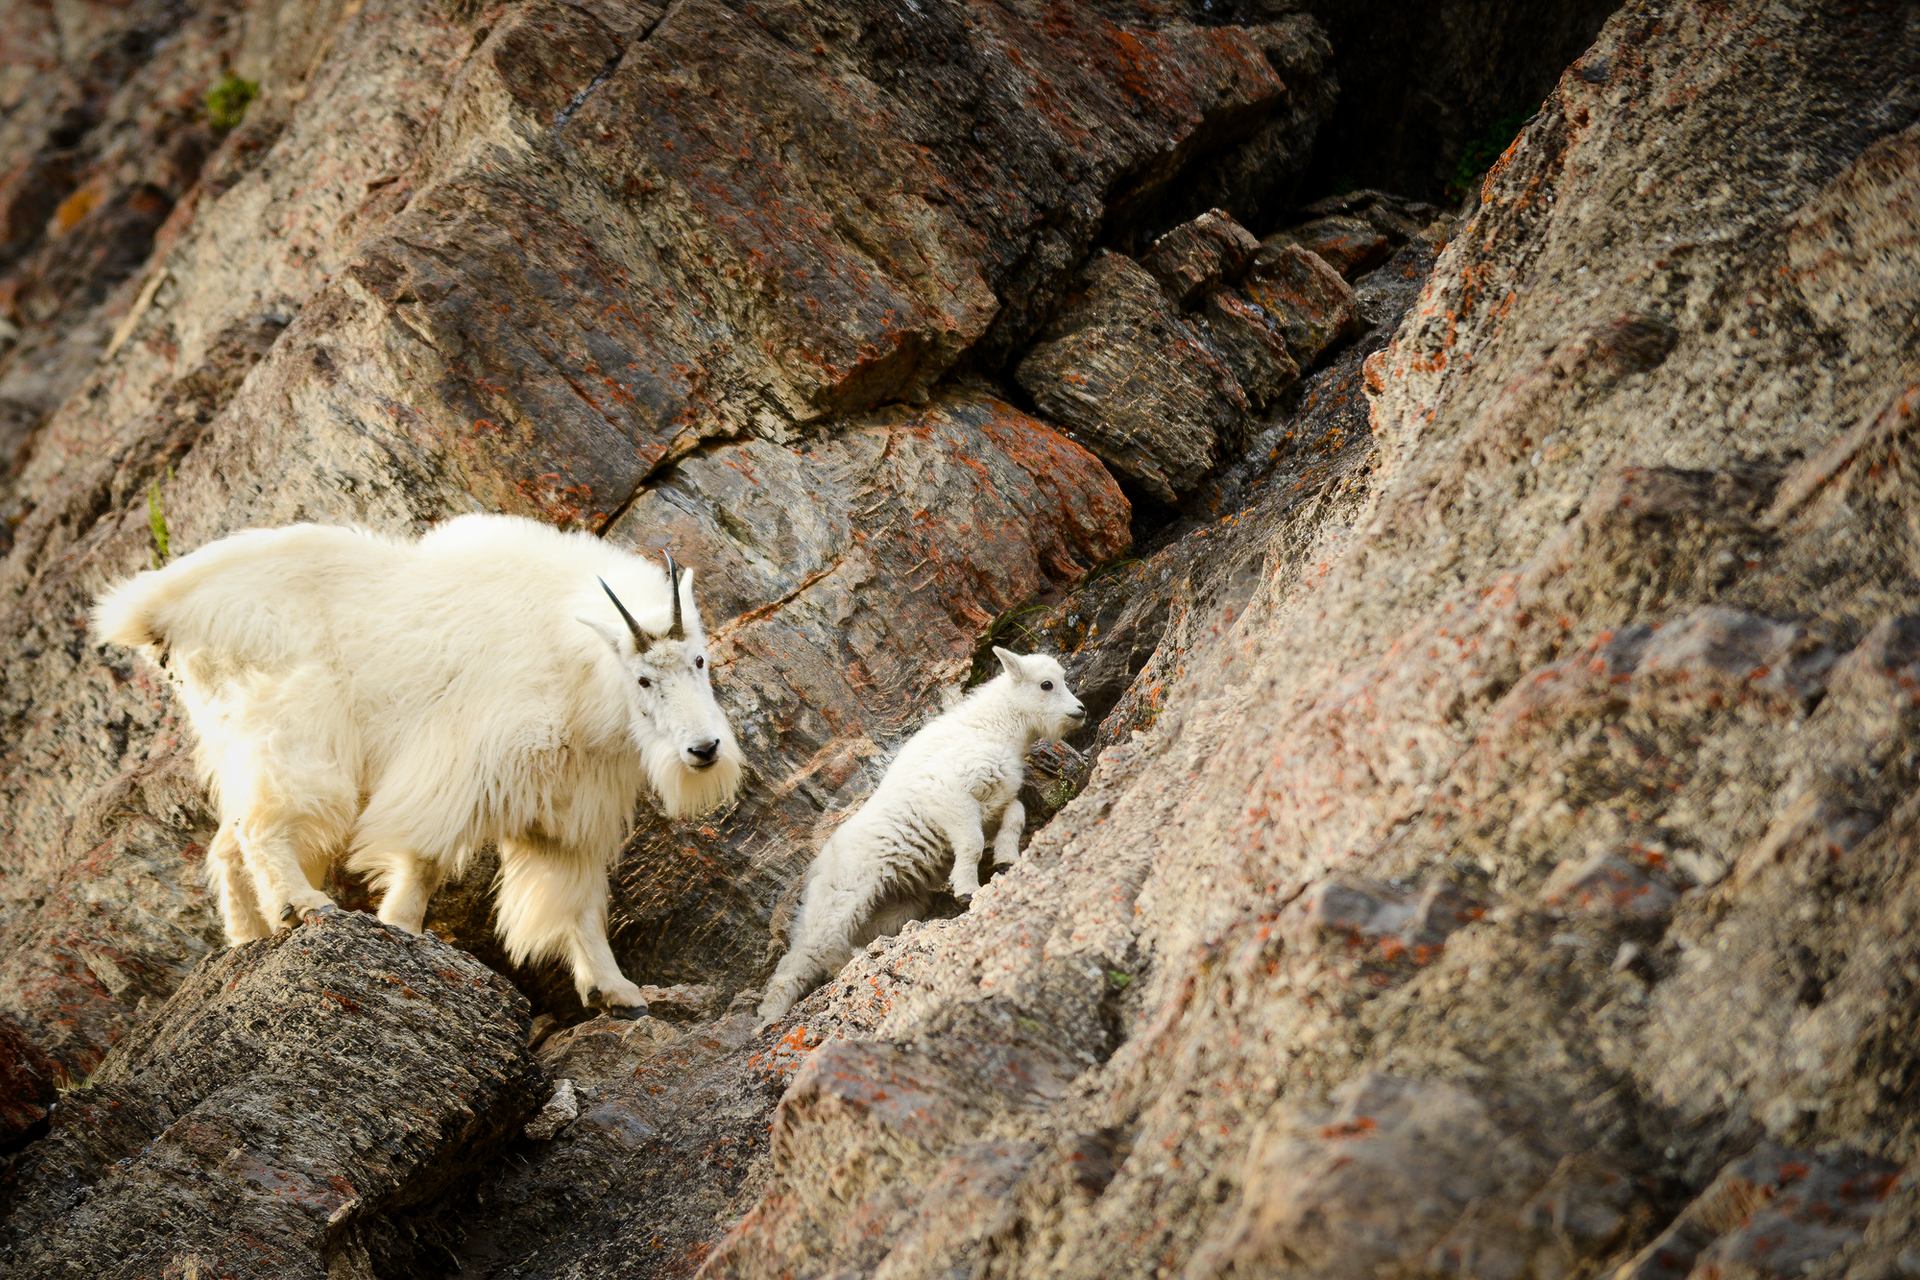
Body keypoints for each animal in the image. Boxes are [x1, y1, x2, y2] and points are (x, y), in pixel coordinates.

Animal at [93, 514, 744, 1013]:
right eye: (643, 678)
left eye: (700, 660)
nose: (704, 750)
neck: (575, 659)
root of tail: (162, 611)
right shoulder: (463, 764)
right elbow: (425, 859)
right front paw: (401, 930)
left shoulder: (567, 809)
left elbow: (578, 903)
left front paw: (618, 992)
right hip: (295, 726)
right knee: (263, 824)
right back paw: (305, 906)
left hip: (235, 737)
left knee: (227, 841)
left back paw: (246, 939)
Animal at [756, 644, 1090, 1028]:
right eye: (1046, 684)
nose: (1080, 711)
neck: (995, 727)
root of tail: (817, 866)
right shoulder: (949, 796)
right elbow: (972, 844)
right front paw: (966, 889)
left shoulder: (992, 803)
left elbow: (1014, 817)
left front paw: (1007, 859)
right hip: (840, 898)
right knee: (803, 956)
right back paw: (770, 1016)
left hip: (894, 907)